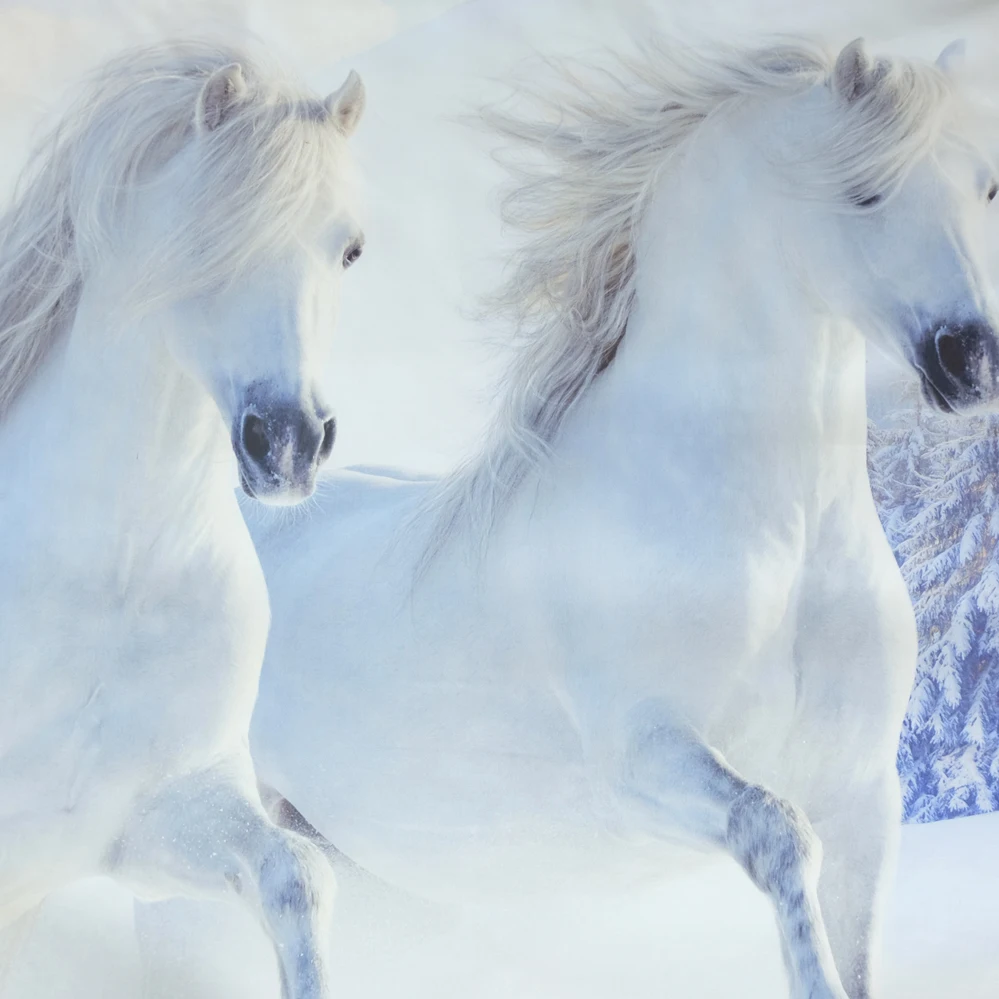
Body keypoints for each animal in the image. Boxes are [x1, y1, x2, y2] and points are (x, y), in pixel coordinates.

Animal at [0, 41, 366, 999]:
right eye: (213, 233)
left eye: (350, 249)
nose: (290, 441)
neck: (111, 582)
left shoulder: (151, 818)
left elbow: (295, 873)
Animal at [238, 37, 999, 999]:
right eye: (863, 189)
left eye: (984, 188)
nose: (969, 360)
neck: (780, 538)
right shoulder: (642, 756)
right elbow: (778, 835)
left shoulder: (863, 792)